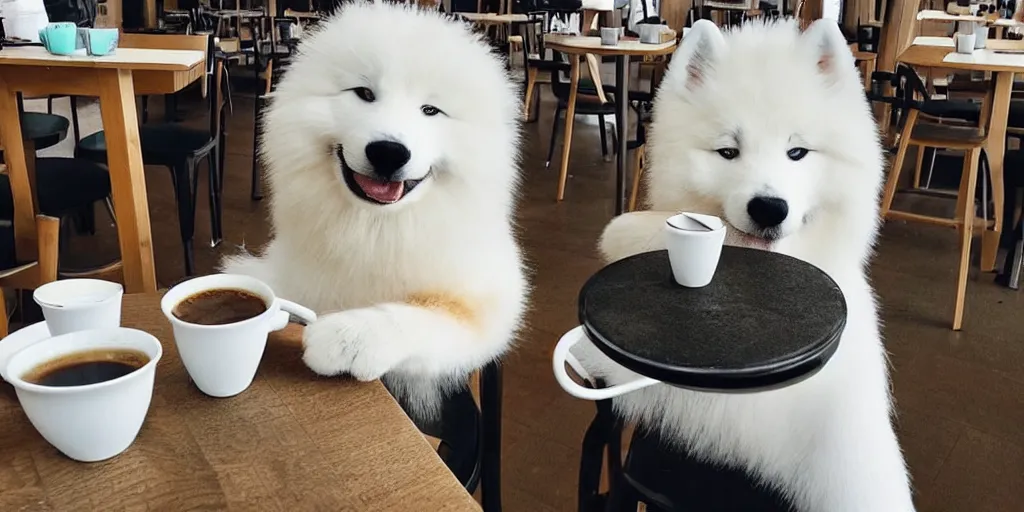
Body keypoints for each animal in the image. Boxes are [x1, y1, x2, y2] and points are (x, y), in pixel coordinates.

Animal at [225, 2, 528, 421]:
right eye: (364, 93)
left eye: (430, 110)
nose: (388, 152)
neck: (373, 228)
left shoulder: (489, 304)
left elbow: (423, 312)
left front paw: (348, 337)